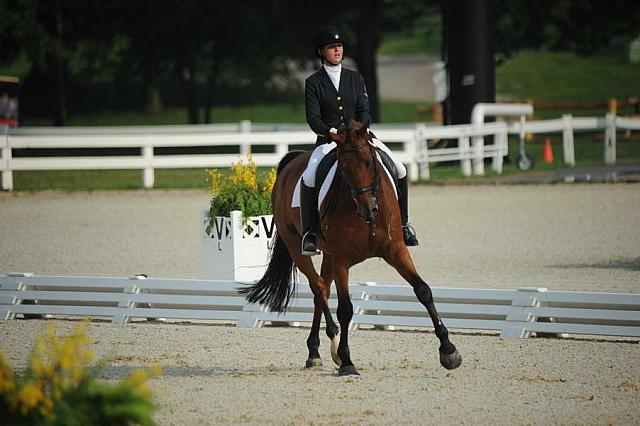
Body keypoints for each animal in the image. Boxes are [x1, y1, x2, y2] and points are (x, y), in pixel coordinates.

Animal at [240, 120, 460, 376]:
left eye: (369, 161)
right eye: (343, 168)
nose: (368, 209)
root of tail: (291, 163)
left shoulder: (396, 251)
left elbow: (423, 290)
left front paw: (449, 350)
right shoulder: (342, 259)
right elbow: (345, 308)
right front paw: (347, 361)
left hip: (328, 255)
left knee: (323, 289)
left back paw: (315, 352)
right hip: (298, 247)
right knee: (319, 288)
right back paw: (331, 344)